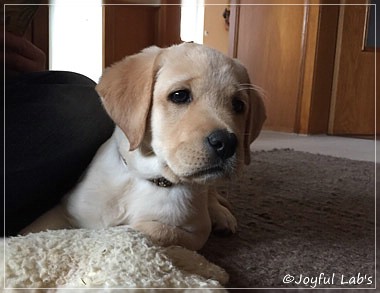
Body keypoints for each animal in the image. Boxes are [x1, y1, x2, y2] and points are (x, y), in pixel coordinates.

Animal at [22, 42, 266, 249]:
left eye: (238, 105)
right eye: (179, 95)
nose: (227, 143)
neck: (147, 178)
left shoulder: (194, 232)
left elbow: (145, 230)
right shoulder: (65, 209)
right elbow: (35, 230)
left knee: (211, 193)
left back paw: (222, 216)